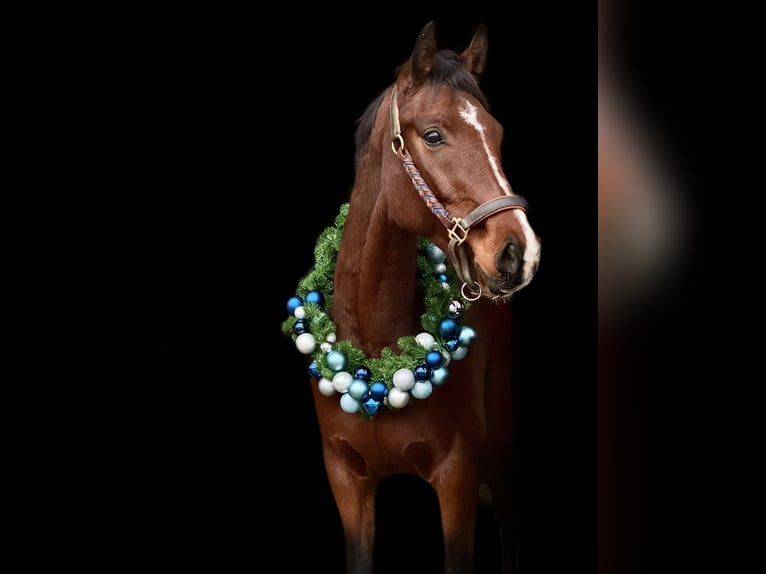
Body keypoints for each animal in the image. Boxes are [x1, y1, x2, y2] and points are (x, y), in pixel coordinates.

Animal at [284, 20, 544, 572]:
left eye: (497, 134)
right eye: (433, 135)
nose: (521, 252)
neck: (376, 350)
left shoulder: (457, 477)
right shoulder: (346, 482)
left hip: (500, 452)